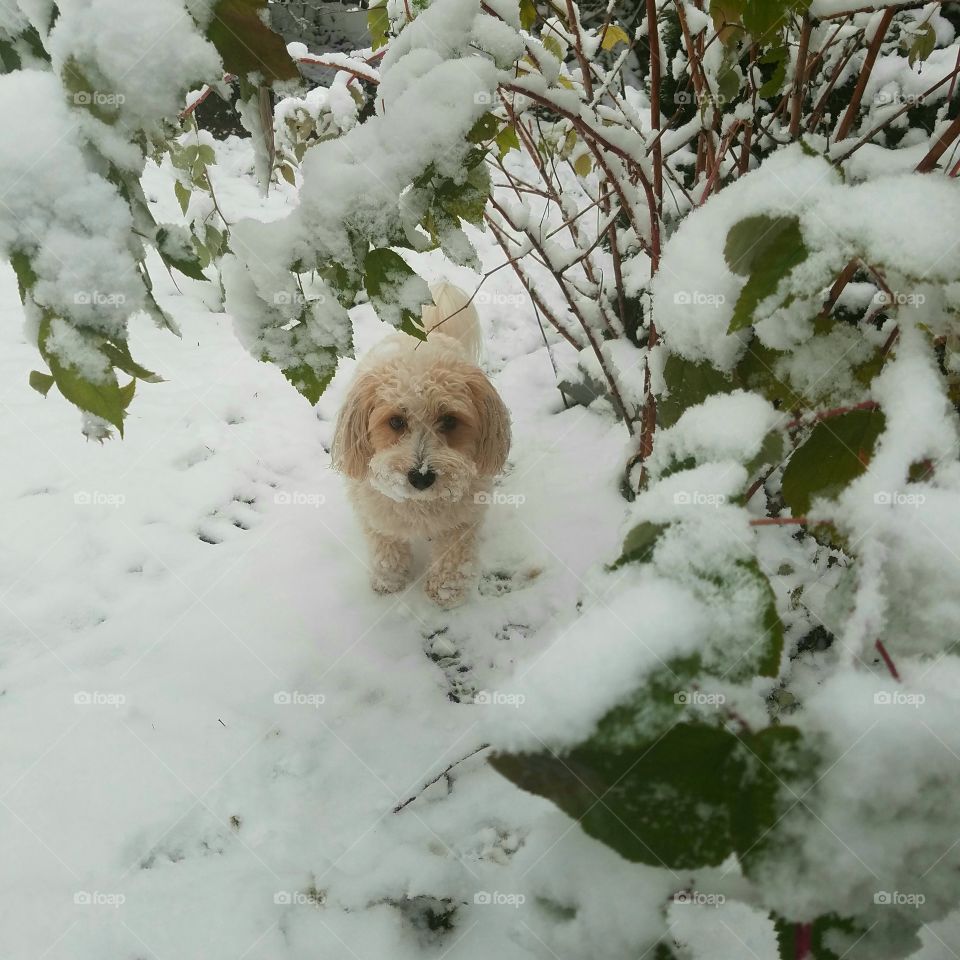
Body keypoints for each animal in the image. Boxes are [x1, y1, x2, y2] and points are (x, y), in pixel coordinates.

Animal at [330, 282, 510, 608]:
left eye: (449, 420)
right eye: (396, 421)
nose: (421, 477)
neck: (420, 503)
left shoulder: (462, 519)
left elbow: (453, 553)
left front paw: (447, 590)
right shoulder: (377, 515)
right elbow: (386, 546)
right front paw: (389, 580)